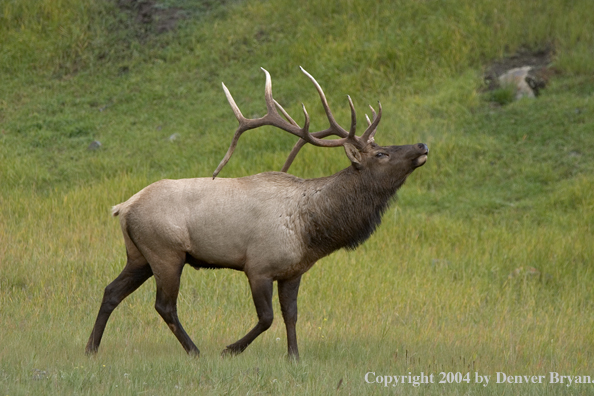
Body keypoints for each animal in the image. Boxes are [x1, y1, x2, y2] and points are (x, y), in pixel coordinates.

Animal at [84, 68, 426, 358]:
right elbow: (267, 318)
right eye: (381, 154)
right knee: (164, 305)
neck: (310, 230)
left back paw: (91, 348)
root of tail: (123, 207)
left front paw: (294, 357)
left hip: (139, 255)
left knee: (111, 291)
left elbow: (291, 315)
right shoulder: (258, 266)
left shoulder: (294, 271)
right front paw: (230, 349)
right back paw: (195, 351)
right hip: (166, 251)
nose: (422, 145)